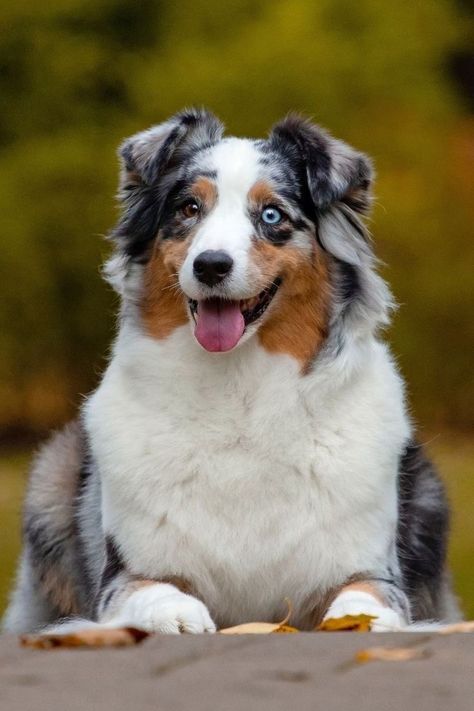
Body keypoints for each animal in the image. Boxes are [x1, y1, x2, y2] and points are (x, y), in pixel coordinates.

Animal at [1, 110, 460, 636]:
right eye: (189, 208)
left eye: (272, 215)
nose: (211, 265)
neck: (239, 392)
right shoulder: (123, 576)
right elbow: (153, 590)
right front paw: (179, 614)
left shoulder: (374, 570)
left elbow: (365, 597)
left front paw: (357, 620)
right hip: (51, 475)